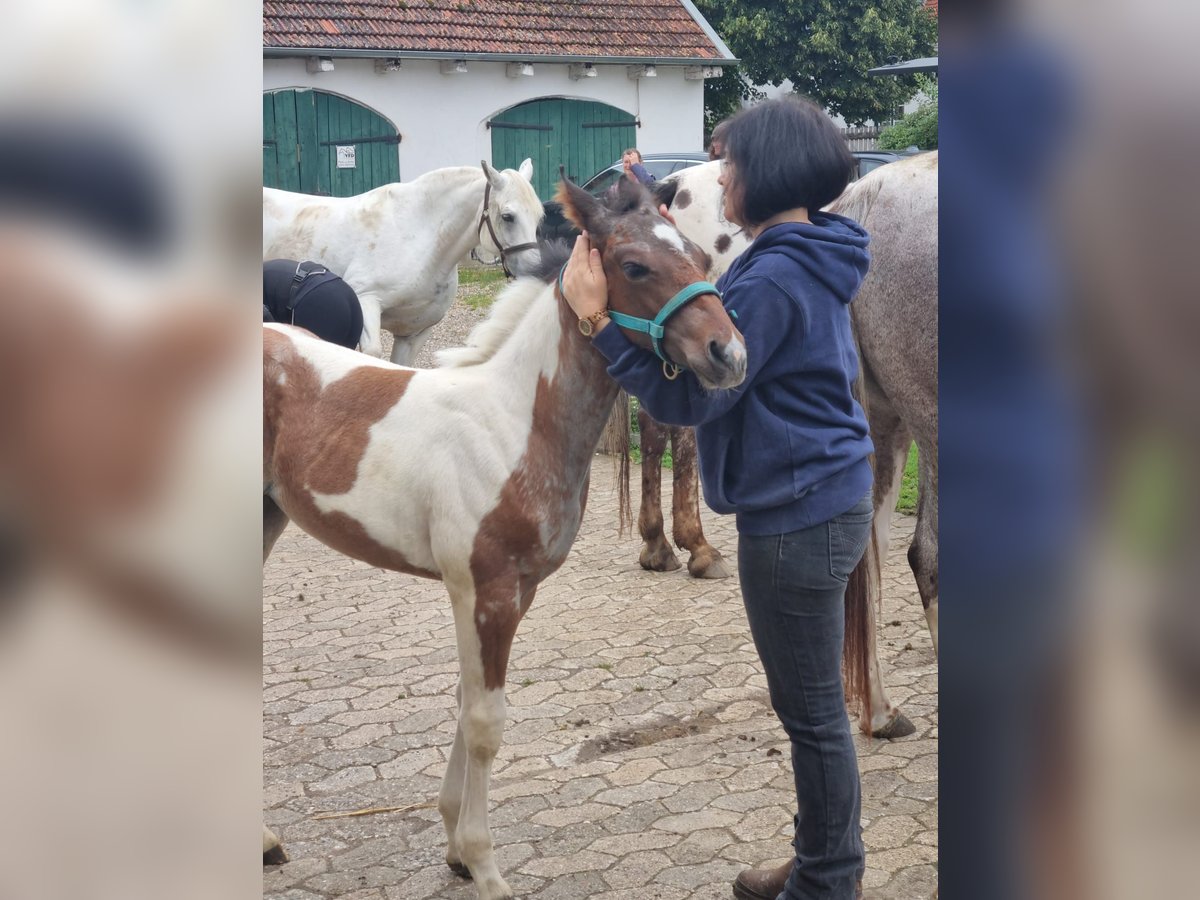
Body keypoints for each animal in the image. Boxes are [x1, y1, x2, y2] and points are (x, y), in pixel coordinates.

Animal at [266, 160, 544, 364]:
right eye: (508, 216)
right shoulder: (366, 300)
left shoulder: (413, 334)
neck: (417, 232)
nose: (535, 268)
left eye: (539, 216)